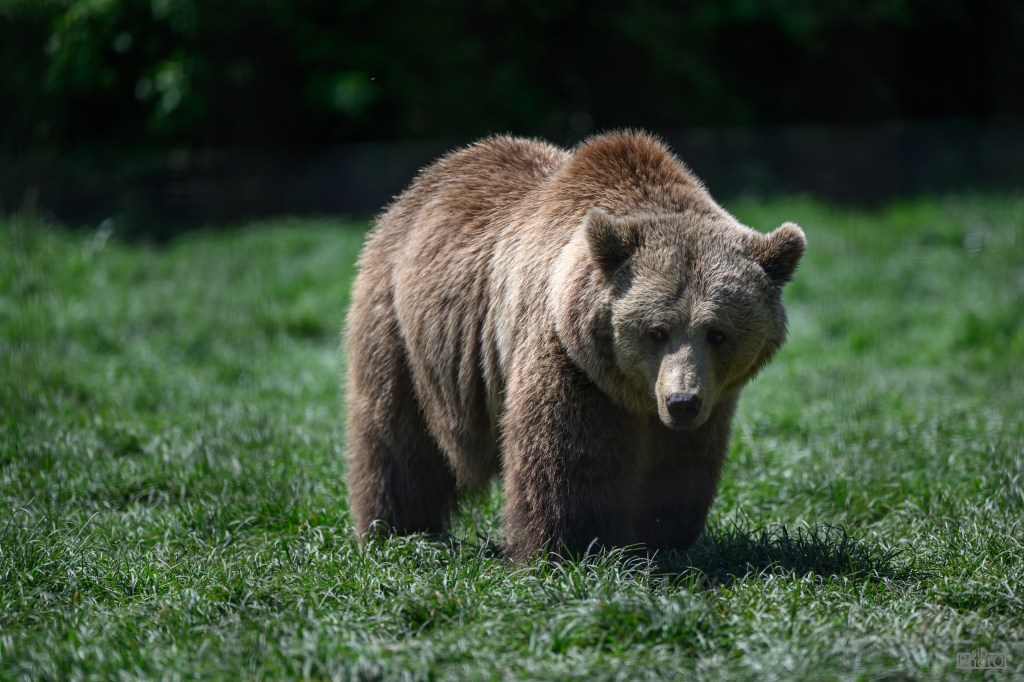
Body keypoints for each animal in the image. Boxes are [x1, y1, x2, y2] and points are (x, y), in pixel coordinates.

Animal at [343, 130, 805, 561]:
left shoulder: (709, 397)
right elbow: (567, 460)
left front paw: (660, 540)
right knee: (394, 436)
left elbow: (680, 466)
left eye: (717, 333)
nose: (681, 402)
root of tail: (426, 179)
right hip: (400, 325)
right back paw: (395, 527)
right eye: (657, 330)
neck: (633, 393)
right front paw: (571, 545)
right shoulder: (569, 358)